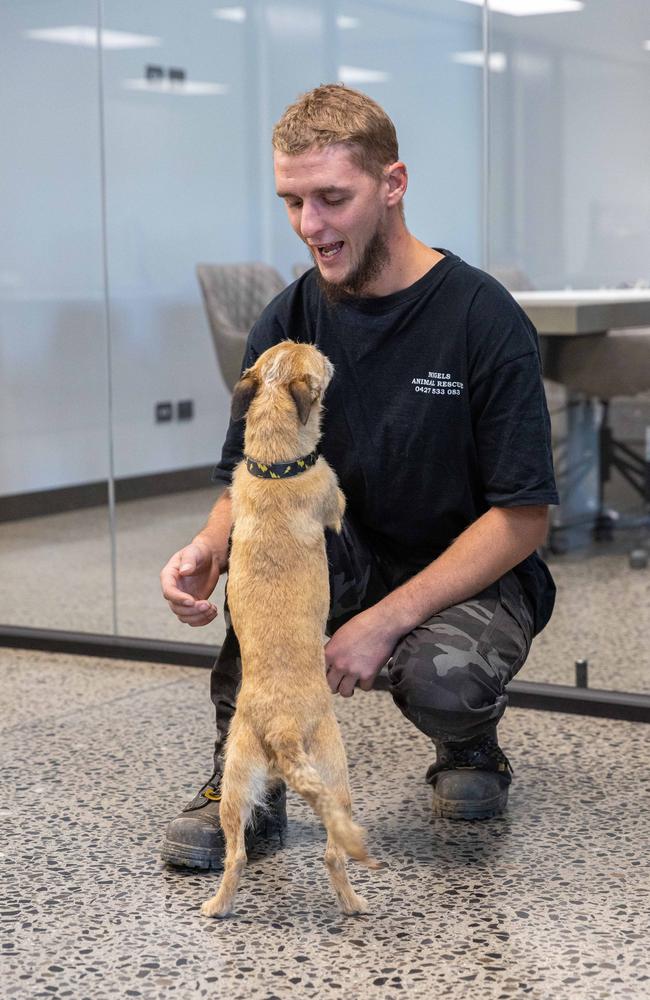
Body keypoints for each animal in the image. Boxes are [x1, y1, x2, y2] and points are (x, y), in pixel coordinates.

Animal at [201, 340, 380, 916]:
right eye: (319, 360)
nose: (325, 349)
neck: (273, 464)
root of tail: (280, 726)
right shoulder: (333, 500)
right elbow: (340, 507)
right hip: (334, 768)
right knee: (333, 851)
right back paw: (352, 903)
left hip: (236, 779)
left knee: (235, 855)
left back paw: (218, 906)